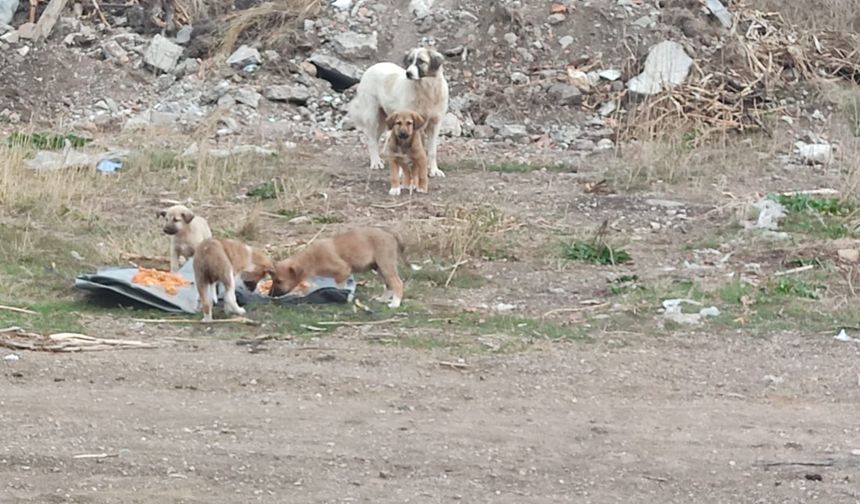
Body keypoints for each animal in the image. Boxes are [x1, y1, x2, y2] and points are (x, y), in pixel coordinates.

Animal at [268, 227, 406, 308]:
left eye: (279, 281)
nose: (270, 295)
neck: (311, 259)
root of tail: (390, 233)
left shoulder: (343, 271)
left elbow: (341, 288)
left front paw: (344, 298)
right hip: (379, 268)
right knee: (389, 285)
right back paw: (383, 299)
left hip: (385, 265)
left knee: (397, 283)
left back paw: (395, 304)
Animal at [346, 45, 450, 179]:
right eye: (410, 61)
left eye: (421, 61)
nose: (408, 73)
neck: (426, 90)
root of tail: (373, 66)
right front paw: (403, 172)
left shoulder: (434, 124)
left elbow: (432, 151)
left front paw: (433, 170)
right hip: (372, 117)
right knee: (371, 140)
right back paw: (375, 162)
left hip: (383, 121)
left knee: (376, 138)